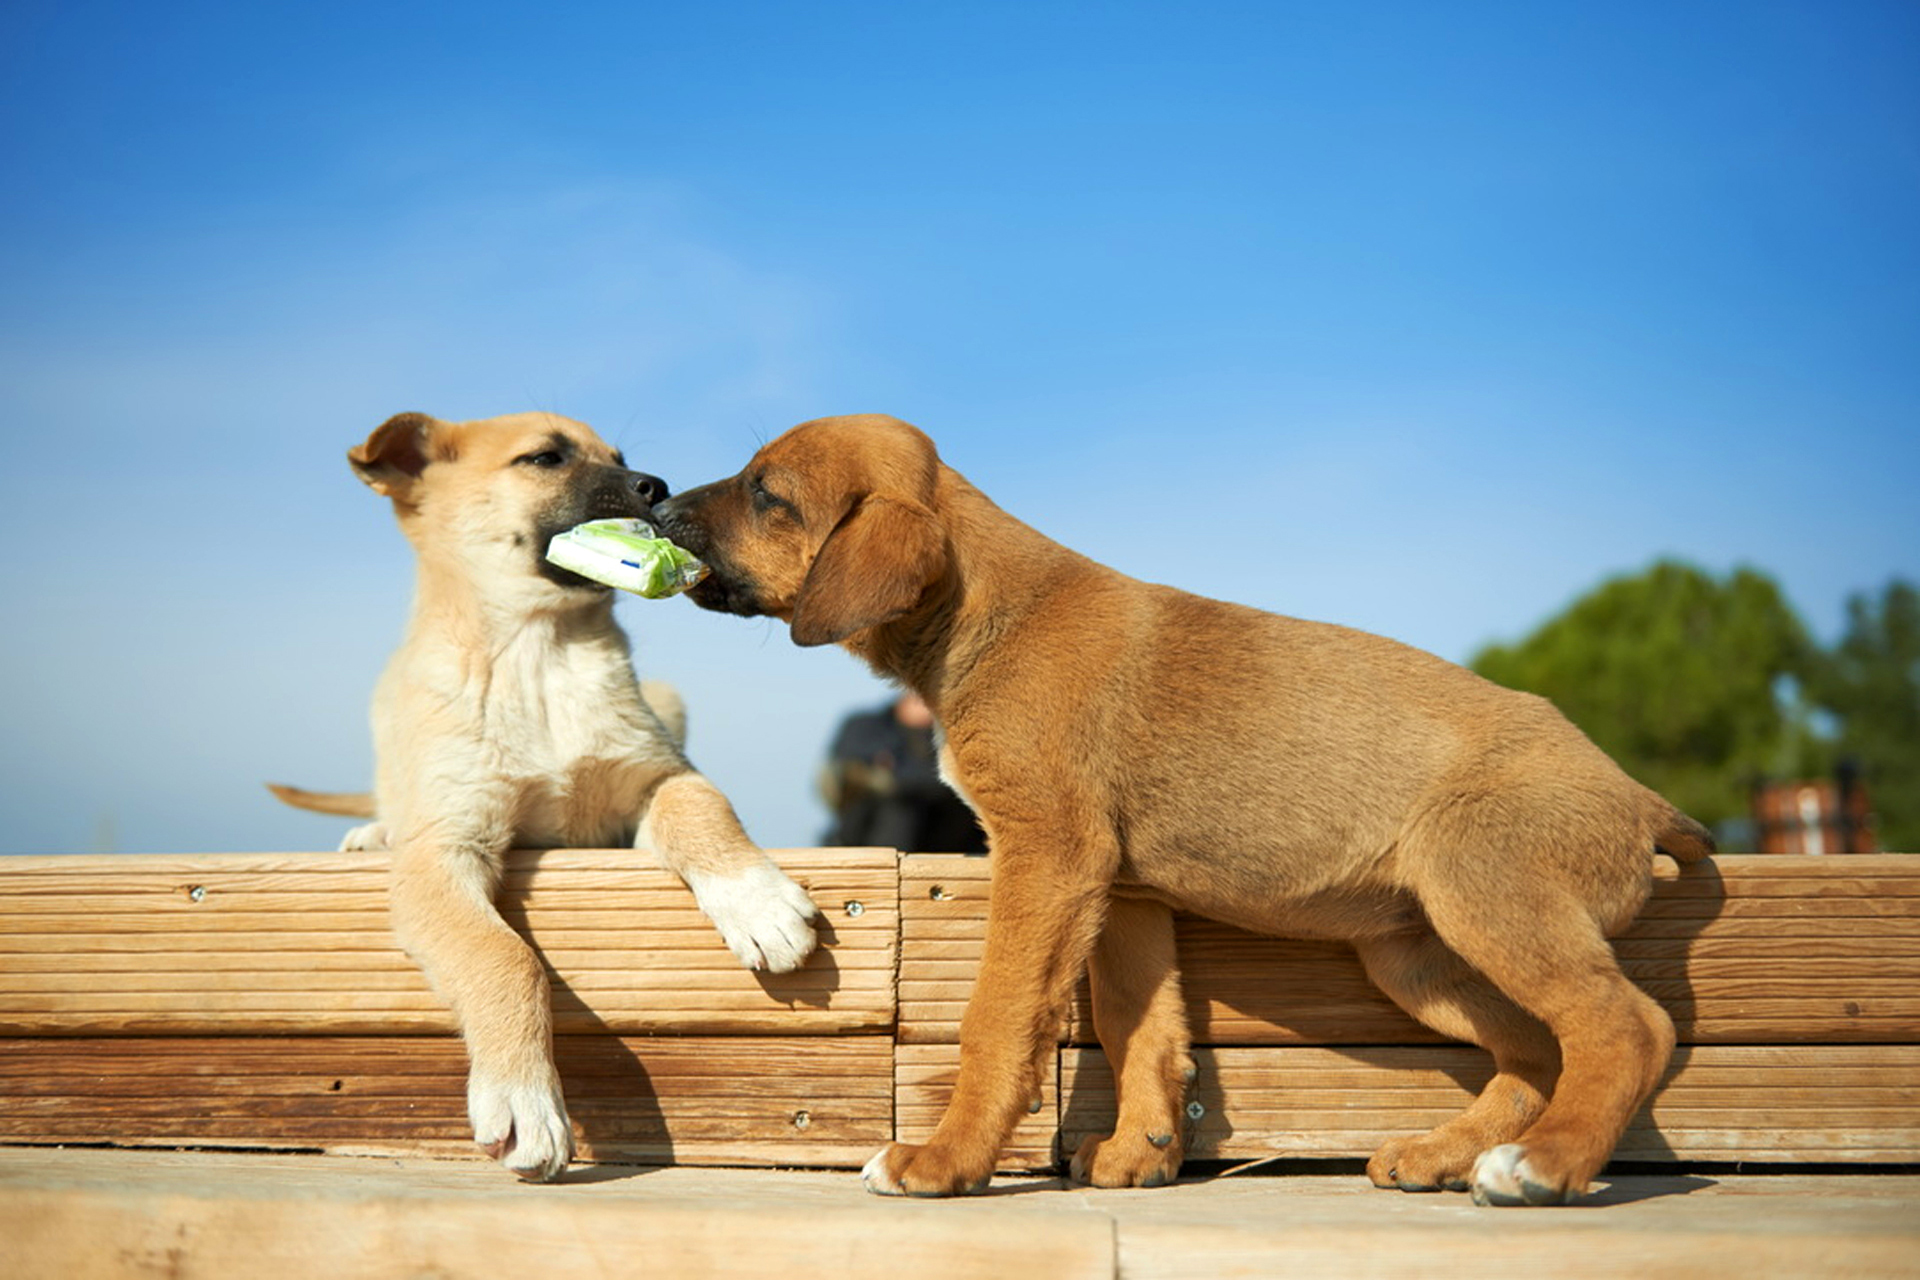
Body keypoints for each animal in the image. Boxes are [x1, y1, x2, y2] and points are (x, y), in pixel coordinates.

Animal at [272, 412, 817, 1182]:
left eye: (620, 456)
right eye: (544, 459)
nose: (656, 487)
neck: (540, 654)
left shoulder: (658, 774)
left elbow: (702, 811)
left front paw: (756, 901)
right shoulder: (445, 852)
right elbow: (504, 959)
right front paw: (523, 1097)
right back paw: (374, 834)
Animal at [656, 416, 1712, 1205]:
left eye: (766, 493)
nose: (658, 499)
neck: (983, 609)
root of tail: (1637, 794)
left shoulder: (1047, 857)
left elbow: (999, 1019)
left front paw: (946, 1162)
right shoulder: (1126, 898)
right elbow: (1141, 1029)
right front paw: (1144, 1152)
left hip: (1483, 891)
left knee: (1628, 1027)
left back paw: (1545, 1167)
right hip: (1419, 953)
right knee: (1535, 1047)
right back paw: (1448, 1154)